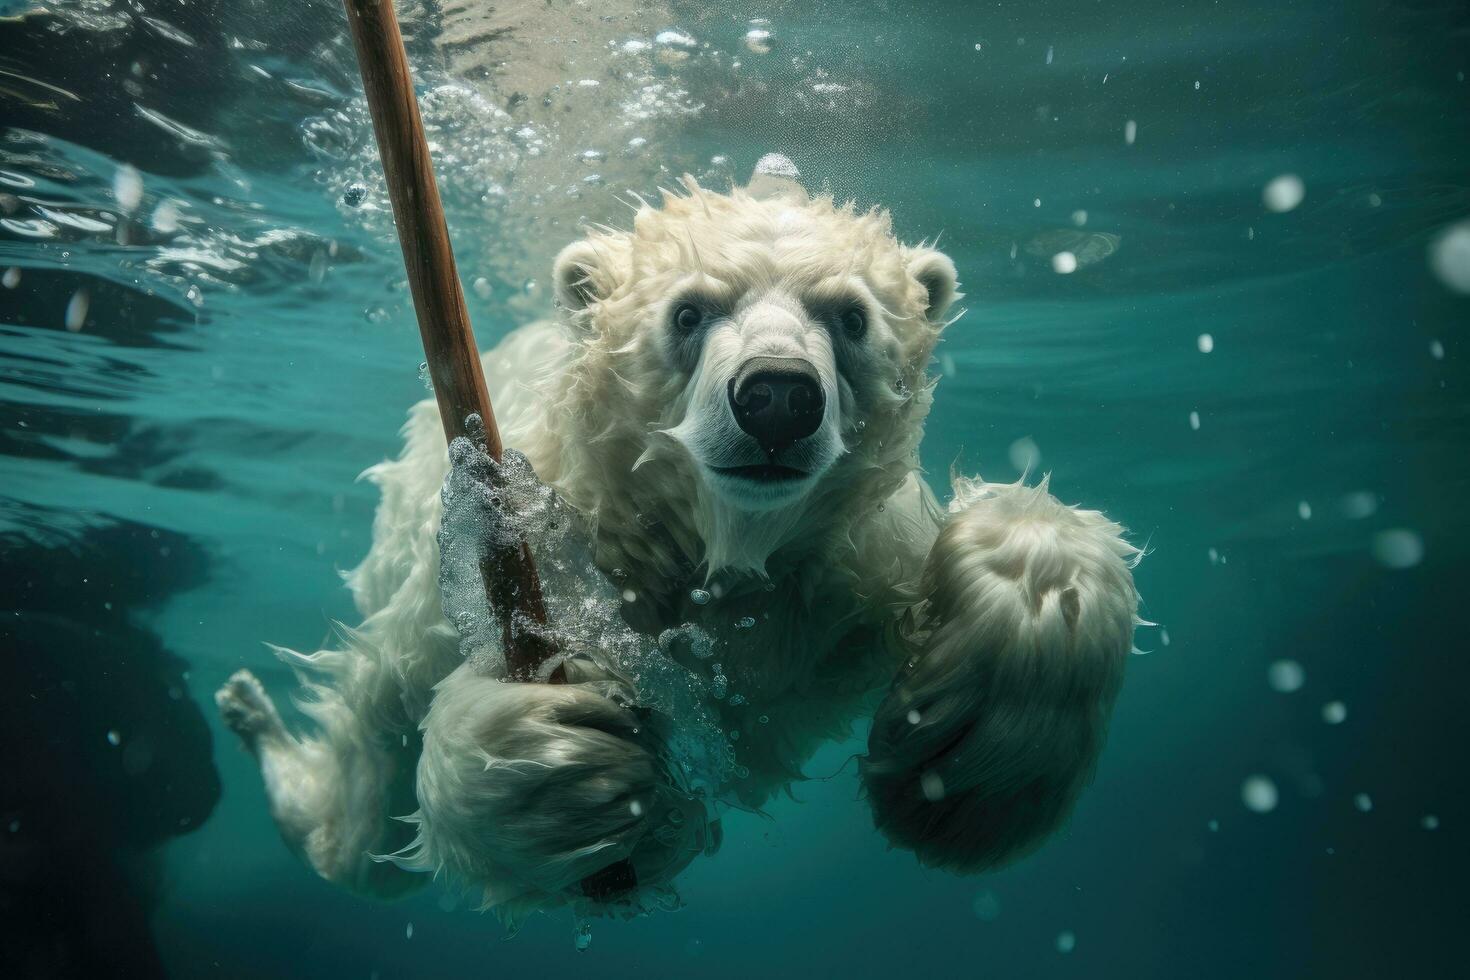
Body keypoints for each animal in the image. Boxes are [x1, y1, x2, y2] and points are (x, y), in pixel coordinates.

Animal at [214, 157, 1134, 922]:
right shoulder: (516, 538)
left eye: (850, 317)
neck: (710, 553)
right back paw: (251, 711)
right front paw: (547, 765)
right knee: (360, 813)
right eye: (690, 311)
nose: (776, 398)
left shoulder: (849, 574)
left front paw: (969, 767)